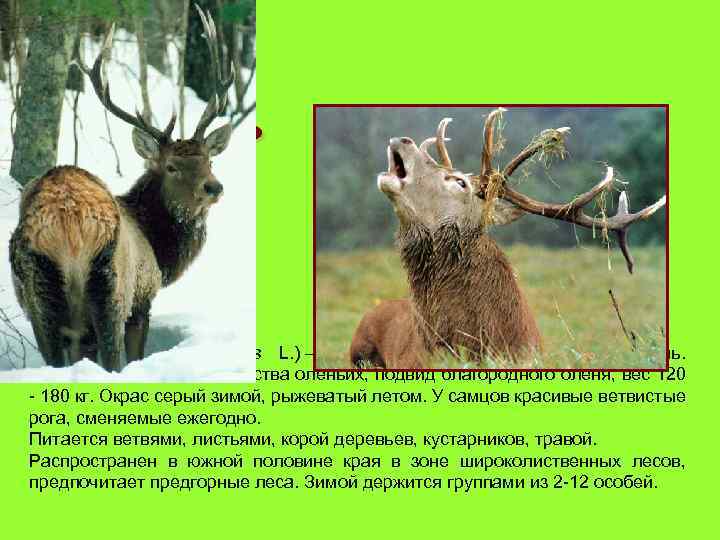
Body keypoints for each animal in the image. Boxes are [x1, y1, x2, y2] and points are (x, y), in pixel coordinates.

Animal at [9, 8, 234, 372]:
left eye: (209, 160)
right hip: (111, 287)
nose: (214, 187)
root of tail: (66, 222)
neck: (159, 248)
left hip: (38, 293)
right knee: (113, 358)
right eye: (171, 166)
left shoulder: (75, 331)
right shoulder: (143, 298)